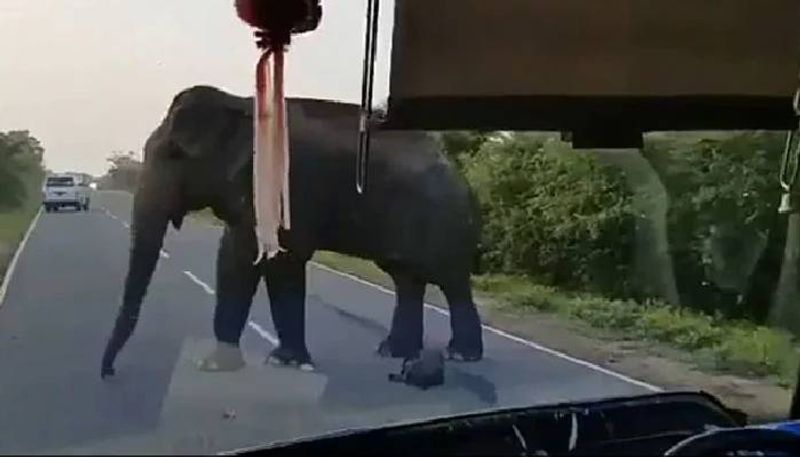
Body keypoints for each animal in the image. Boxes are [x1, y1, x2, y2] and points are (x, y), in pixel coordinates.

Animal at [102, 85, 484, 378]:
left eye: (175, 153)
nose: (109, 373)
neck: (241, 104)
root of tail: (462, 176)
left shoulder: (291, 187)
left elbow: (282, 260)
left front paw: (285, 362)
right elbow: (234, 259)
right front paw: (216, 364)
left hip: (446, 222)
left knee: (450, 282)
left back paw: (461, 355)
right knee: (406, 278)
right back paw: (393, 352)